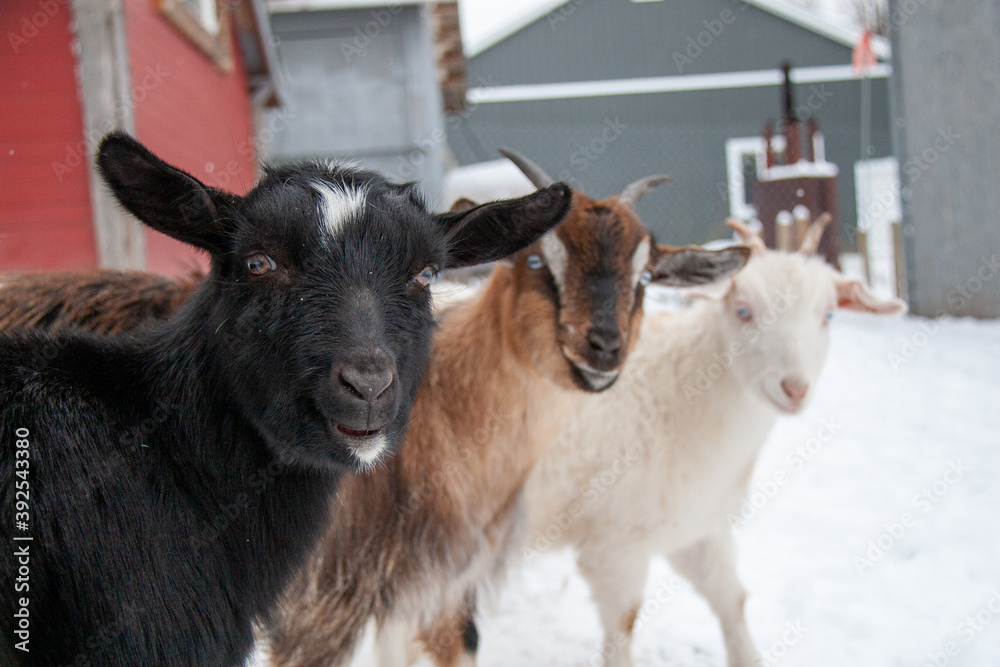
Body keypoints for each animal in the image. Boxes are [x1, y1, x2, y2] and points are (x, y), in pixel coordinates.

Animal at [524, 217, 908, 664]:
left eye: (828, 314)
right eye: (743, 310)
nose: (794, 389)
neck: (676, 393)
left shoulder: (699, 522)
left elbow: (732, 598)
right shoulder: (616, 541)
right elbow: (624, 625)